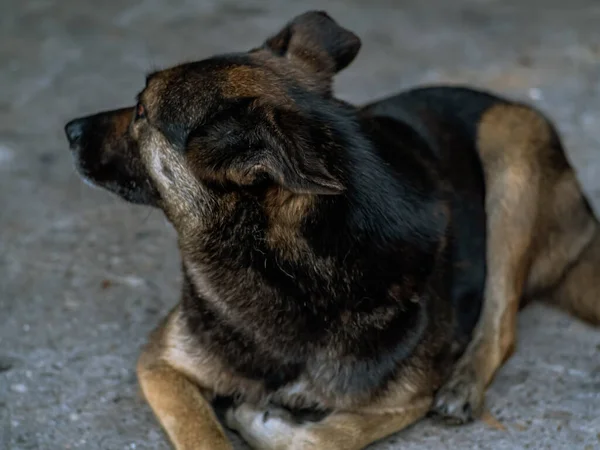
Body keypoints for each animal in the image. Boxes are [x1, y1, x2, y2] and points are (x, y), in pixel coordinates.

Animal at [64, 10, 600, 450]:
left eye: (141, 111)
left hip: (512, 138)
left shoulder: (405, 401)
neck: (288, 273)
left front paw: (260, 421)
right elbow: (203, 434)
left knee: (502, 320)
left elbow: (325, 436)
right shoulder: (160, 362)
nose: (70, 129)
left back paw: (464, 384)